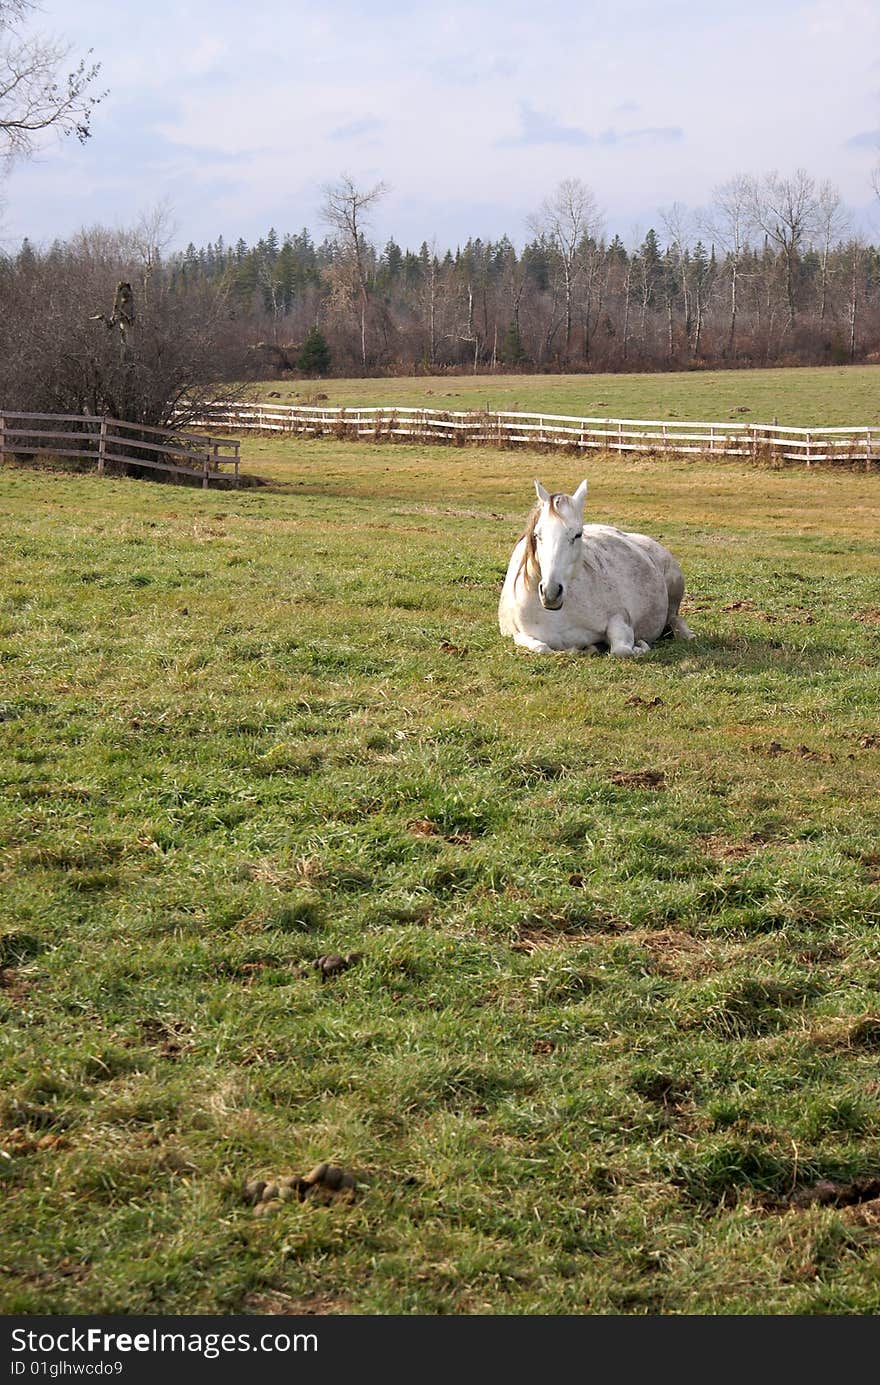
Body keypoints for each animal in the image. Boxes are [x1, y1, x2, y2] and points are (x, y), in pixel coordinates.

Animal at [496, 479, 695, 656]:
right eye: (538, 535)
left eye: (578, 534)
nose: (550, 592)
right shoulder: (518, 634)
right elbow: (541, 647)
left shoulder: (620, 619)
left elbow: (622, 650)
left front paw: (640, 646)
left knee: (675, 619)